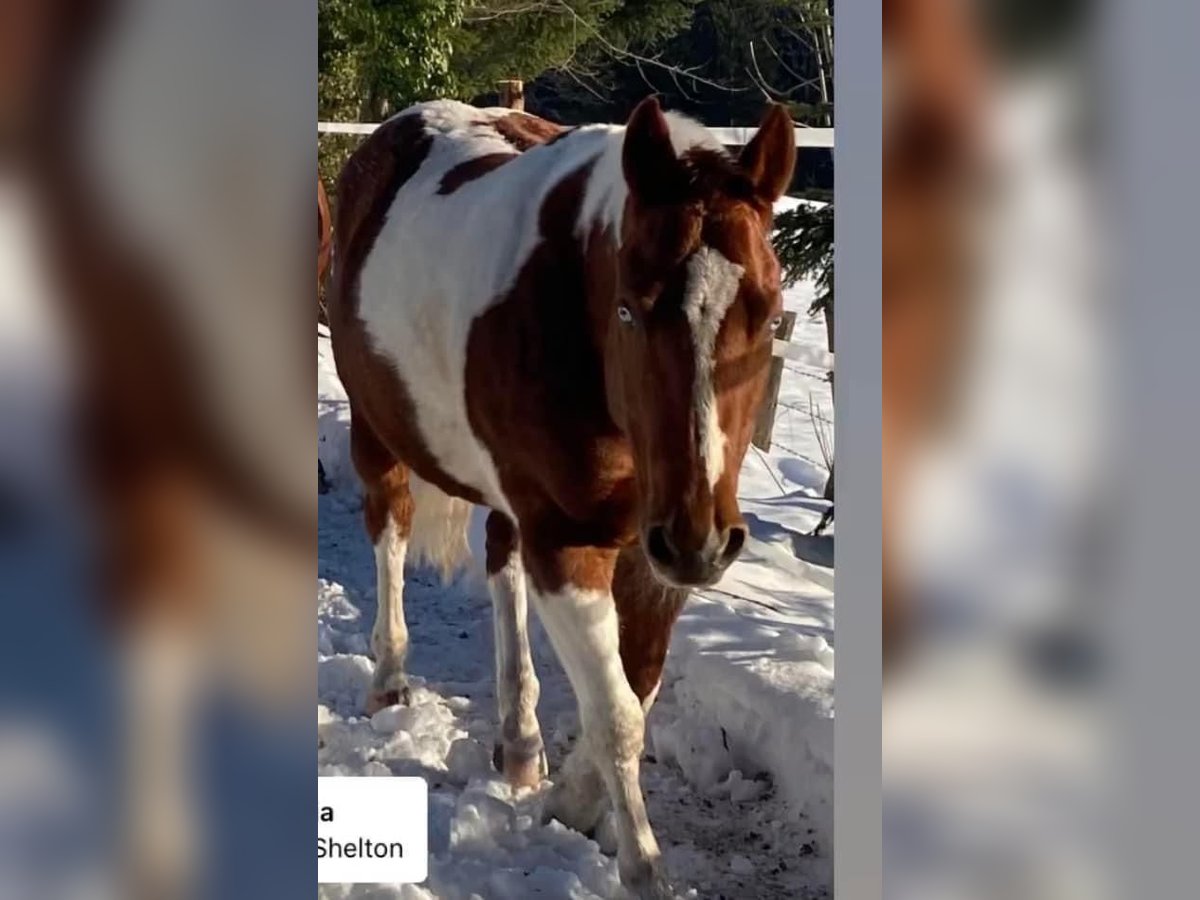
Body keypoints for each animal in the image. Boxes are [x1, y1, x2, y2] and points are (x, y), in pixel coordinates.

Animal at [328, 95, 796, 897]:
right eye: (630, 309)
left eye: (767, 315)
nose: (703, 542)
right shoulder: (571, 541)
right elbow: (616, 714)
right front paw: (642, 868)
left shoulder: (652, 559)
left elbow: (636, 689)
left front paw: (573, 802)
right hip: (376, 431)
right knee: (390, 531)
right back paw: (389, 680)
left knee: (501, 564)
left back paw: (519, 741)